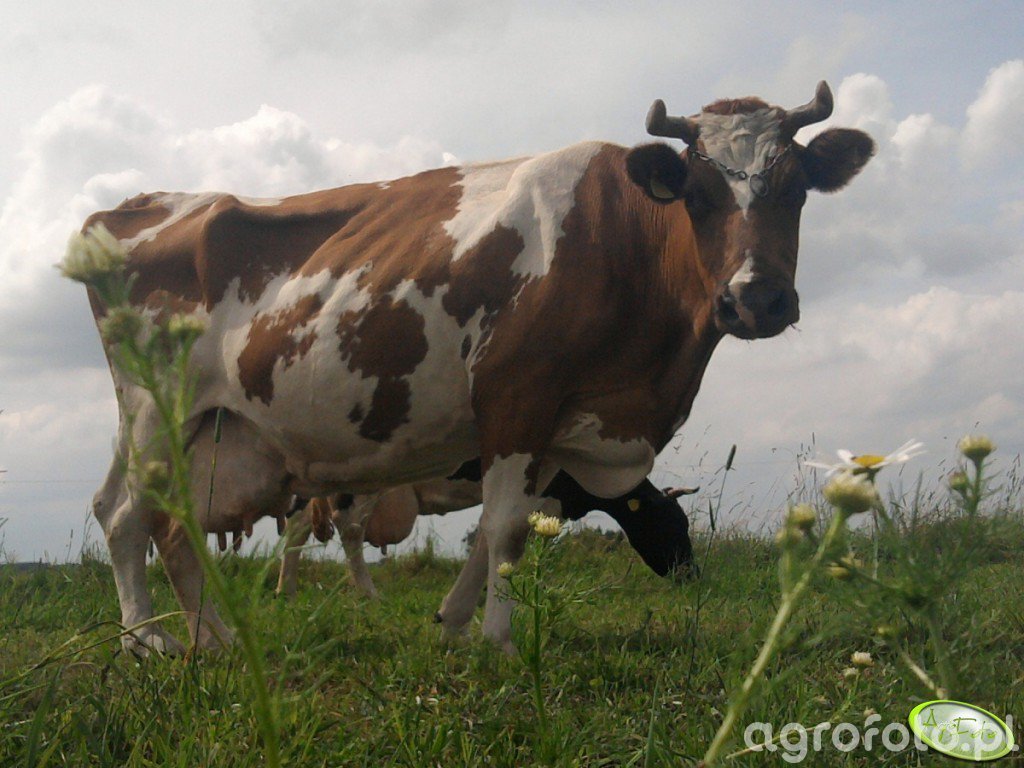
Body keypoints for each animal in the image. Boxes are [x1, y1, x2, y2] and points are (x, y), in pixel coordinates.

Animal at [276, 462, 700, 602]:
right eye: (674, 523)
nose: (692, 574)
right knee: (349, 530)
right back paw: (369, 593)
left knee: (296, 528)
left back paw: (286, 591)